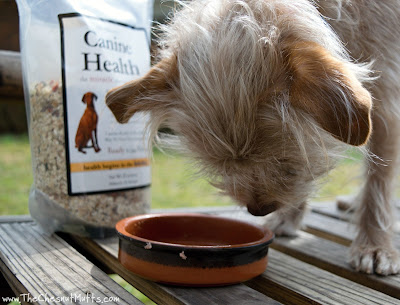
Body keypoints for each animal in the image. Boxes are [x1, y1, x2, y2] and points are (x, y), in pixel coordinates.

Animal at [106, 0, 400, 276]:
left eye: (284, 161)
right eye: (224, 167)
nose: (258, 210)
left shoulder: (386, 100)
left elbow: (379, 181)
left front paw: (374, 245)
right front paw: (289, 216)